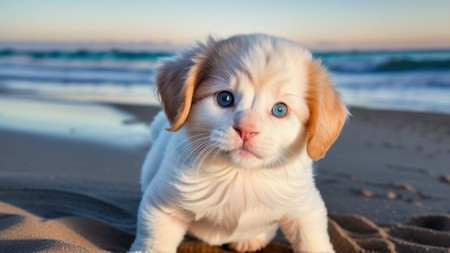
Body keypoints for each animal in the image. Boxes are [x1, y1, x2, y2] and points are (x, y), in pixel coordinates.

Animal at [130, 34, 348, 253]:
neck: (240, 176)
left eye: (280, 110)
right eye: (224, 98)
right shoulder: (161, 206)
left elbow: (313, 241)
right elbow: (155, 243)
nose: (246, 130)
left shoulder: (306, 209)